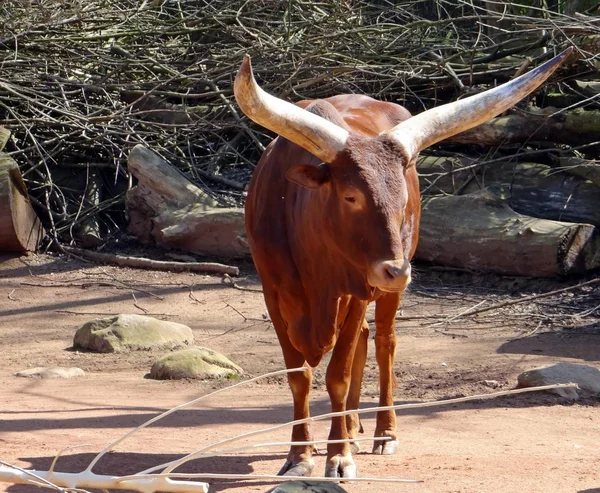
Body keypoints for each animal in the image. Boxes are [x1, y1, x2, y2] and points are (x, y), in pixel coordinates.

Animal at [232, 47, 568, 476]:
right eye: (351, 196)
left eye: (403, 198)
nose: (396, 271)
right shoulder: (272, 292)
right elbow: (299, 376)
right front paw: (299, 455)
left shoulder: (358, 287)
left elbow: (338, 374)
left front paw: (338, 456)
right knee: (363, 340)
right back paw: (351, 426)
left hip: (381, 290)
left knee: (383, 342)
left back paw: (381, 432)